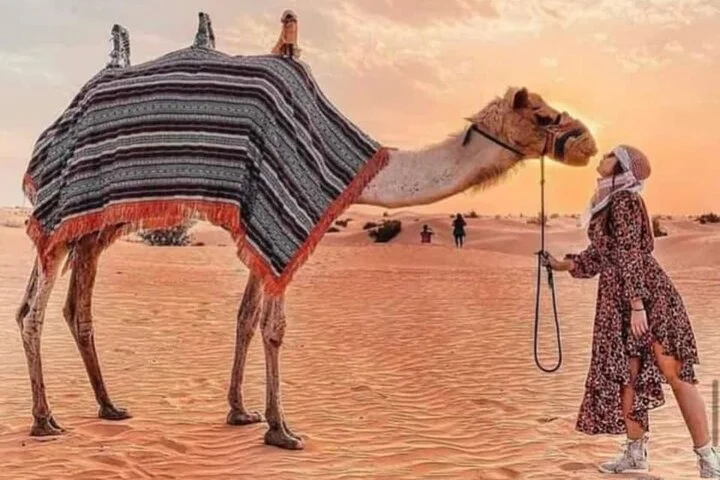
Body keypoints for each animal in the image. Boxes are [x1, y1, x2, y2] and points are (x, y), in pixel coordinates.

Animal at [16, 12, 598, 450]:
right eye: (542, 115)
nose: (588, 141)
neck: (363, 165)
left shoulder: (257, 230)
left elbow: (246, 318)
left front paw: (241, 412)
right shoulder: (277, 226)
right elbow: (274, 327)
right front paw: (281, 430)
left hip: (98, 224)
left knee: (77, 308)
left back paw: (109, 407)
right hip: (64, 213)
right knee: (32, 310)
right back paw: (45, 421)